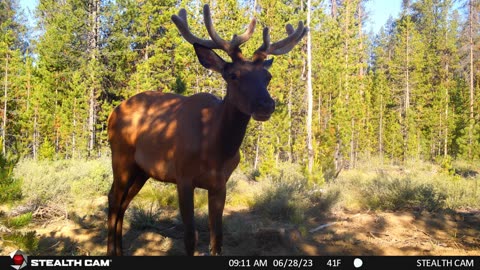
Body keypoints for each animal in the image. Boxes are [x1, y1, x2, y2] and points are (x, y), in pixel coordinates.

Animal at [106, 5, 306, 256]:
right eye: (233, 75)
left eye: (267, 77)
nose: (266, 105)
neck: (215, 148)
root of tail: (113, 112)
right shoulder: (183, 177)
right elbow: (190, 237)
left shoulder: (220, 183)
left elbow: (217, 237)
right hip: (121, 158)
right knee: (113, 199)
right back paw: (110, 251)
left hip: (142, 170)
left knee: (123, 203)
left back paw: (120, 251)